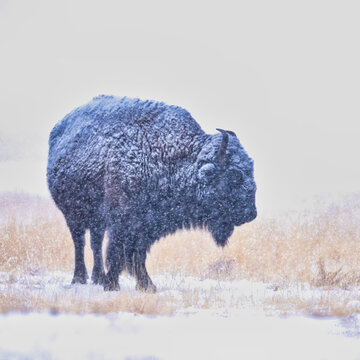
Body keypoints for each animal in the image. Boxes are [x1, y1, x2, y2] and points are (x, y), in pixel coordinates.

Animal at [47, 94, 256, 292]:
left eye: (250, 169)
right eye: (235, 175)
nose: (251, 214)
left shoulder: (146, 227)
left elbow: (137, 255)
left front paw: (145, 285)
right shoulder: (123, 222)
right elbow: (119, 252)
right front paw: (114, 285)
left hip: (96, 220)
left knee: (95, 243)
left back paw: (97, 278)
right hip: (74, 215)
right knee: (80, 243)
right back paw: (79, 279)